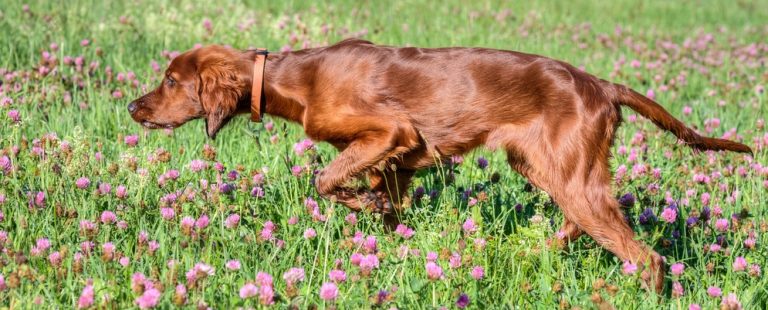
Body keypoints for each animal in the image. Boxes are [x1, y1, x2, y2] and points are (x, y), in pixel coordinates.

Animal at [129, 37, 752, 292]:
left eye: (171, 81)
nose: (133, 107)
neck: (294, 78)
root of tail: (602, 83)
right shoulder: (398, 161)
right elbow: (383, 205)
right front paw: (380, 240)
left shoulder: (391, 132)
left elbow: (325, 178)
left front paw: (359, 202)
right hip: (545, 166)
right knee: (579, 227)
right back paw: (528, 257)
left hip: (569, 173)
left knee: (646, 257)